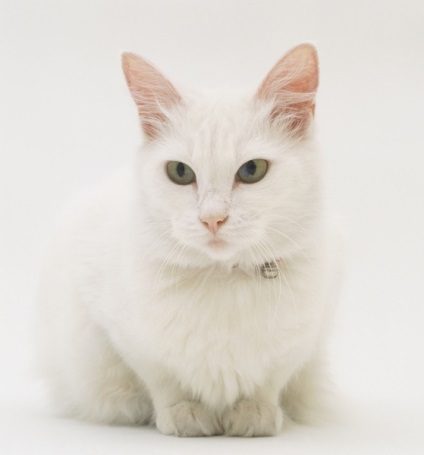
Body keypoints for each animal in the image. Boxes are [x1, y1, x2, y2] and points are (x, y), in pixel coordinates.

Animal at [36, 43, 344, 438]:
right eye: (180, 172)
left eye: (252, 170)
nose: (212, 219)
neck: (224, 281)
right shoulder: (124, 337)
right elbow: (163, 380)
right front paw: (184, 413)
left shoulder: (302, 340)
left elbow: (269, 381)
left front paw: (255, 413)